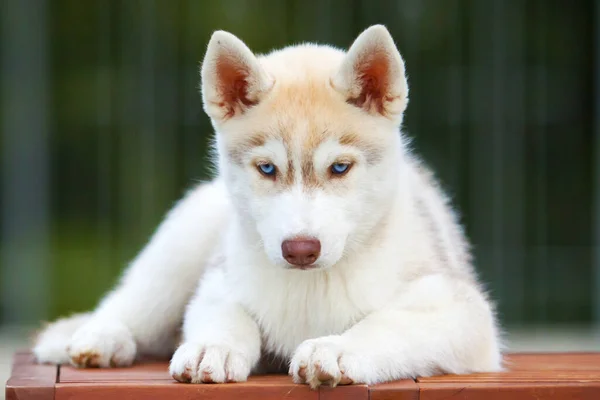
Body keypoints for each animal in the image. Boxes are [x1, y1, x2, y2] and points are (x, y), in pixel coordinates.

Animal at [31, 24, 502, 388]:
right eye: (268, 168)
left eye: (340, 167)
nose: (300, 250)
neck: (312, 286)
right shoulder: (218, 280)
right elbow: (227, 312)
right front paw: (212, 347)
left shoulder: (458, 308)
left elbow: (387, 323)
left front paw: (336, 348)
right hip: (183, 245)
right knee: (132, 304)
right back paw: (100, 339)